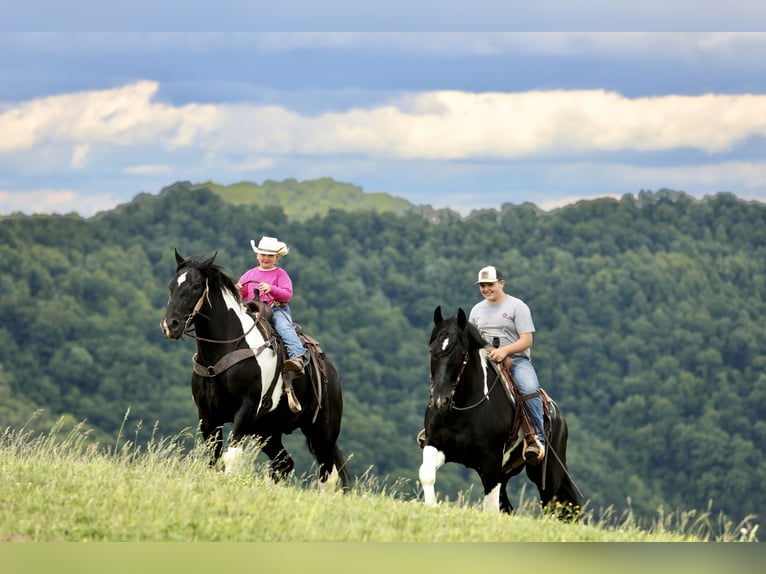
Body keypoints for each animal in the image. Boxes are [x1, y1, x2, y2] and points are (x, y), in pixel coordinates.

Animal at [161, 249, 351, 491]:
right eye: (172, 285)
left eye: (195, 286)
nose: (170, 325)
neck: (222, 352)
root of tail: (331, 373)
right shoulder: (207, 416)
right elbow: (214, 458)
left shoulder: (246, 410)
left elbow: (232, 456)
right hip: (268, 431)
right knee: (284, 464)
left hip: (322, 431)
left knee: (328, 474)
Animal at [418, 306, 581, 517]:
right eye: (432, 351)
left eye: (461, 354)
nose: (439, 400)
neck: (462, 412)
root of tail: (558, 416)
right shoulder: (436, 444)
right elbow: (426, 474)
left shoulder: (491, 462)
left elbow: (490, 507)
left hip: (547, 472)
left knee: (553, 503)